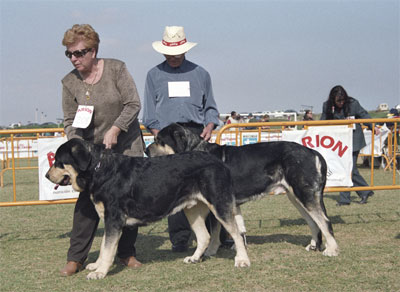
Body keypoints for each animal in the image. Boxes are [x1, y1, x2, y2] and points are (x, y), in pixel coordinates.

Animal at [45, 138, 248, 280]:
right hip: (193, 209)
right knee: (205, 236)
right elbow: (104, 247)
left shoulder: (114, 219)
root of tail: (219, 161)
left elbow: (108, 248)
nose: (46, 175)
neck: (98, 168)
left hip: (219, 205)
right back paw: (195, 258)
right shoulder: (110, 221)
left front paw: (100, 272)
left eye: (59, 161)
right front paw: (97, 266)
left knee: (237, 234)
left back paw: (243, 260)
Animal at [145, 123, 340, 258]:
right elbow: (234, 229)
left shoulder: (217, 203)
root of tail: (314, 152)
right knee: (314, 221)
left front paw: (210, 251)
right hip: (297, 197)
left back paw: (331, 250)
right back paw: (313, 245)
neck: (195, 150)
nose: (146, 150)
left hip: (304, 194)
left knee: (324, 221)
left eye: (159, 141)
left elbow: (216, 232)